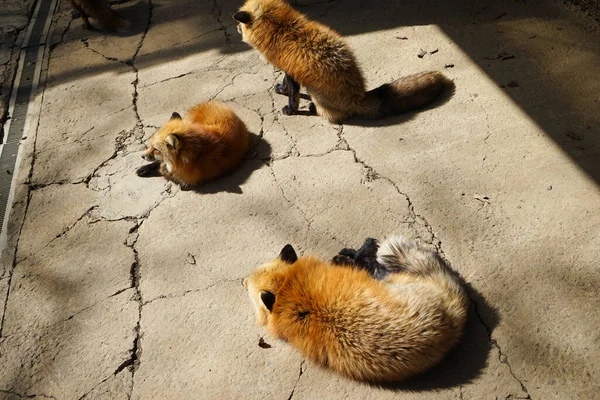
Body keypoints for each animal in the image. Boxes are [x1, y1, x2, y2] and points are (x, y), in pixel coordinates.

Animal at [232, 0, 452, 123]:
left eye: (239, 24)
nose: (235, 28)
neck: (281, 29)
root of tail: (359, 96)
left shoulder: (290, 70)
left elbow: (292, 95)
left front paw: (290, 109)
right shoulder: (289, 70)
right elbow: (288, 88)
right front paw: (281, 91)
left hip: (317, 93)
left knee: (336, 115)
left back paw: (314, 109)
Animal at [244, 236, 468, 382]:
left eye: (247, 284)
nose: (242, 281)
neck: (289, 290)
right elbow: (361, 262)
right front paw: (355, 253)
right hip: (385, 279)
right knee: (371, 265)